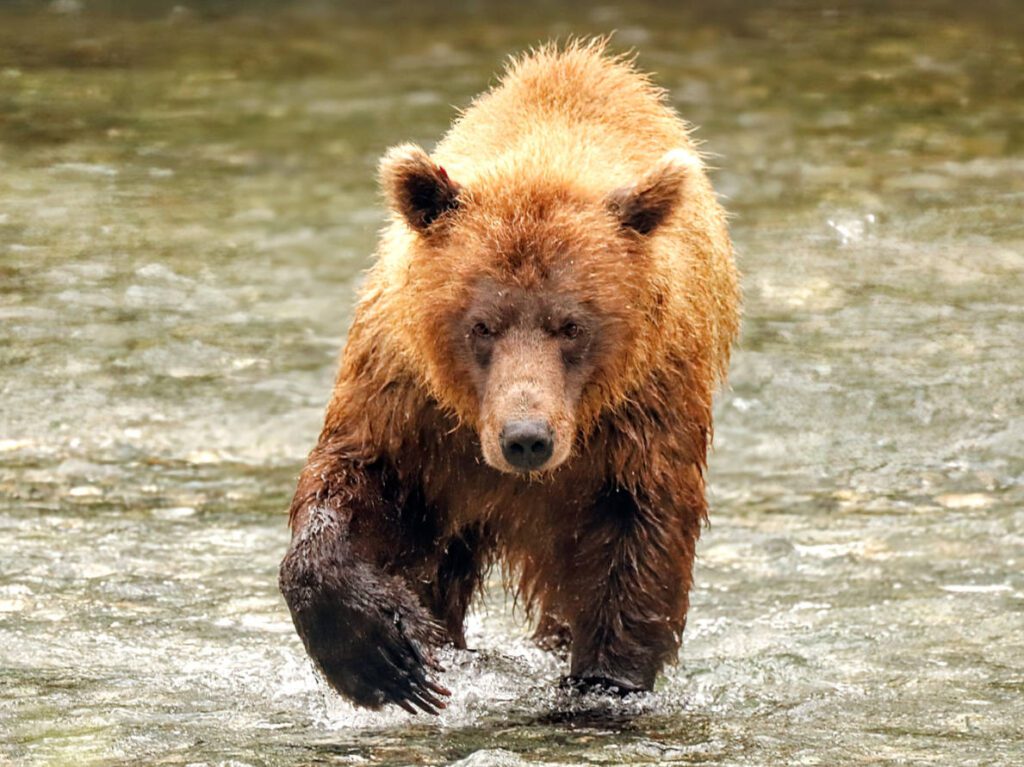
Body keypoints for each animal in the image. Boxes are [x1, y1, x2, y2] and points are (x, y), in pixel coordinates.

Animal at [278, 39, 740, 715]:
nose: (526, 439)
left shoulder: (646, 407)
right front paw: (385, 656)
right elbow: (358, 481)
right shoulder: (408, 396)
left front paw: (601, 686)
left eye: (572, 324)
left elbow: (638, 541)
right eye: (482, 324)